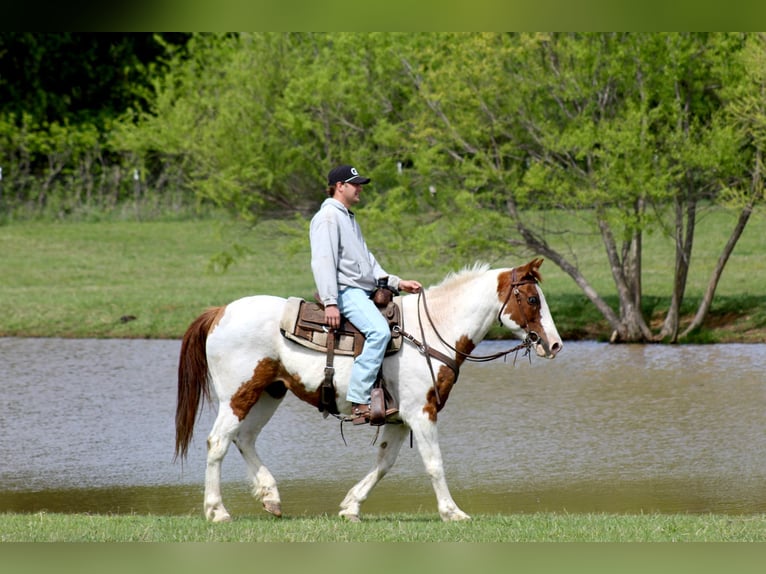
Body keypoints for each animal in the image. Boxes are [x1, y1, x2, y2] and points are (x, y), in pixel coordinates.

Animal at [175, 258, 563, 522]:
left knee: (244, 438)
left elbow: (384, 463)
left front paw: (351, 506)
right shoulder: (421, 413)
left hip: (269, 393)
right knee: (218, 442)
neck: (431, 332)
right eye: (532, 299)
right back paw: (217, 510)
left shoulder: (398, 419)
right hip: (237, 395)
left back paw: (271, 496)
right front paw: (452, 512)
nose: (555, 344)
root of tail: (220, 311)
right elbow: (434, 463)